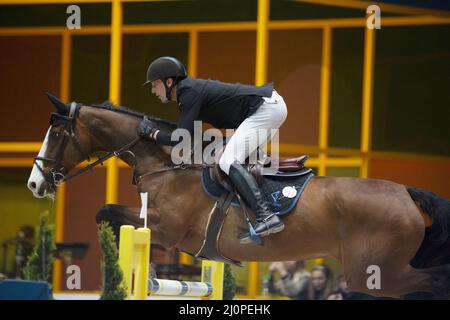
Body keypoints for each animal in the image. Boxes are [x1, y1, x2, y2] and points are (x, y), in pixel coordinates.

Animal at [27, 94, 450, 298]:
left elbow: (106, 212)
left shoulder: (164, 230)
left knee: (434, 282)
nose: (34, 184)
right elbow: (107, 213)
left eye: (58, 133)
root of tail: (407, 194)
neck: (166, 163)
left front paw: (122, 264)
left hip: (374, 274)